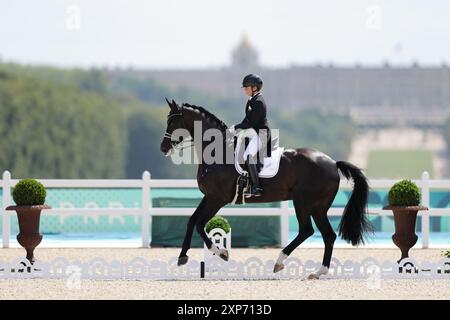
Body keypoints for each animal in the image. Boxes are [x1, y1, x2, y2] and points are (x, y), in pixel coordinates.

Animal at [159, 99, 372, 278]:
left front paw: (221, 252)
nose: (163, 148)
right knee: (327, 235)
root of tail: (333, 163)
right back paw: (318, 272)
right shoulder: (209, 197)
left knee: (307, 231)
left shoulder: (217, 199)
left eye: (172, 122)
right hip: (318, 207)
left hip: (304, 203)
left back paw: (280, 262)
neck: (217, 152)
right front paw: (182, 256)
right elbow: (191, 220)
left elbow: (200, 224)